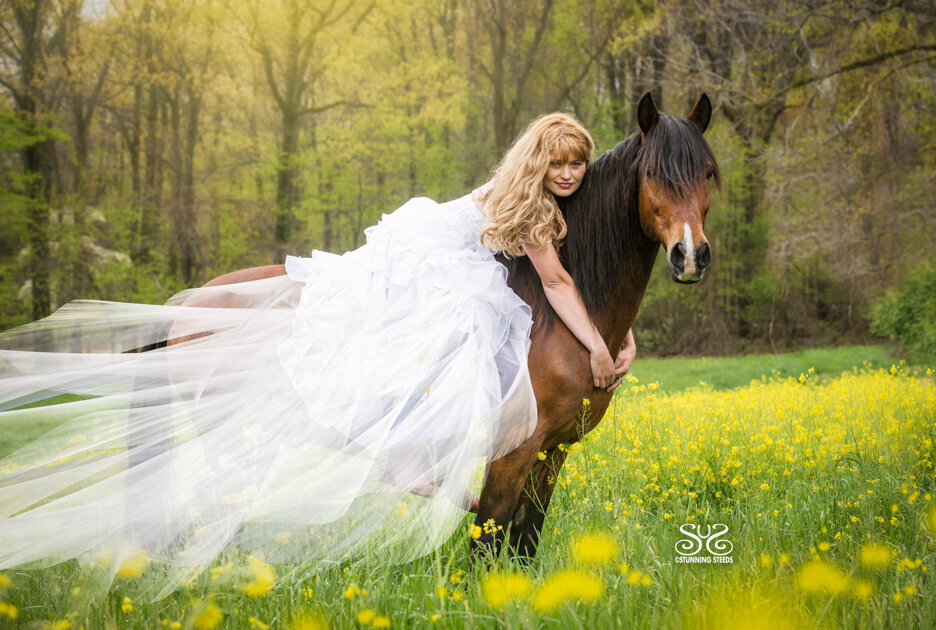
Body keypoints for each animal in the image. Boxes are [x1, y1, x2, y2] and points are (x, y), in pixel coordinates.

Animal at [177, 92, 716, 556]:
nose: (691, 255)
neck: (560, 320)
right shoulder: (514, 449)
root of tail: (195, 300)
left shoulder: (554, 449)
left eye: (709, 173)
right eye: (653, 173)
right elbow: (489, 539)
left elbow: (526, 539)